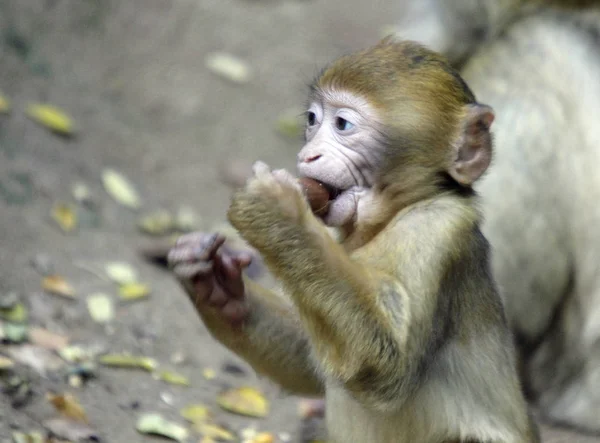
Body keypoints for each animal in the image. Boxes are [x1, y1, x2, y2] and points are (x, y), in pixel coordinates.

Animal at [169, 38, 540, 443]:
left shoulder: (436, 231)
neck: (392, 215)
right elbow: (317, 358)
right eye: (312, 120)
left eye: (342, 124)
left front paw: (278, 212)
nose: (306, 155)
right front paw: (218, 288)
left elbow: (387, 367)